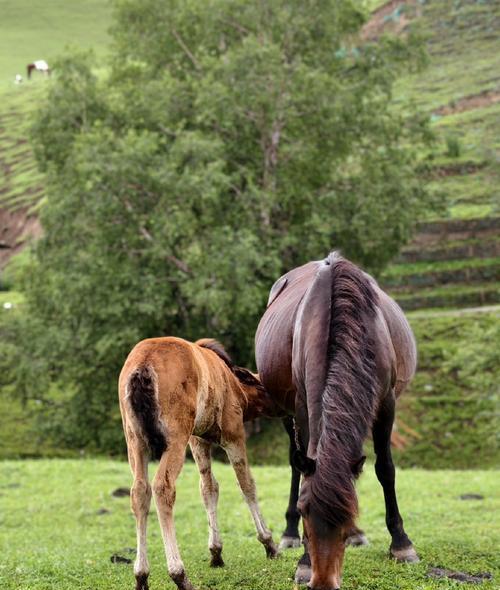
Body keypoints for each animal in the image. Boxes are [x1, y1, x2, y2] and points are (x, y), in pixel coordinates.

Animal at [117, 338, 282, 590]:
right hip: (175, 437)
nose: (284, 407)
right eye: (264, 387)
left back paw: (141, 575)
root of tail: (141, 369)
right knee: (162, 487)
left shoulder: (198, 439)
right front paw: (269, 543)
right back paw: (178, 573)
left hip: (135, 441)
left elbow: (209, 488)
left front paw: (216, 552)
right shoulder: (233, 434)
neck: (238, 389)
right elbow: (247, 485)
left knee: (140, 491)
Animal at [256, 253, 420, 590]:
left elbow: (385, 470)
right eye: (305, 513)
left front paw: (401, 544)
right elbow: (305, 471)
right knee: (295, 464)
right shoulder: (302, 406)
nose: (322, 583)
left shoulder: (386, 403)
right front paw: (304, 560)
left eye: (346, 519)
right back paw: (288, 534)